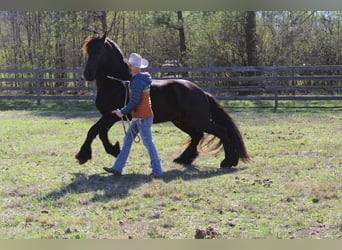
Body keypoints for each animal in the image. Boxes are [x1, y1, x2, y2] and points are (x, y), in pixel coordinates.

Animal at [76, 32, 250, 168]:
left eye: (99, 51)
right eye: (88, 51)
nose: (87, 74)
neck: (118, 83)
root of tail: (202, 92)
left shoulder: (111, 115)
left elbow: (93, 130)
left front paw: (82, 155)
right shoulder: (110, 116)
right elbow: (101, 133)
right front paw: (113, 149)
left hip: (198, 120)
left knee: (221, 131)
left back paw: (228, 161)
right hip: (182, 121)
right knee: (197, 135)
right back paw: (184, 159)